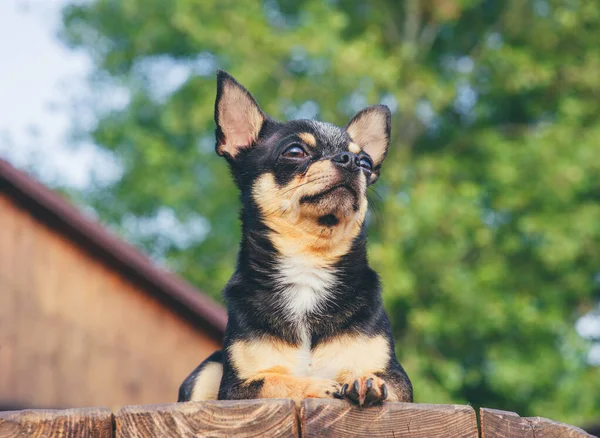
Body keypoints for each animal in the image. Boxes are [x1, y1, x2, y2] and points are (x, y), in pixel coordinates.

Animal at [177, 72, 412, 408]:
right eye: (295, 152)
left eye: (366, 163)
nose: (351, 160)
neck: (308, 260)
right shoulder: (236, 389)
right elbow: (277, 380)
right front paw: (319, 385)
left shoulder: (399, 380)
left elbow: (382, 380)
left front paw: (363, 379)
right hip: (207, 370)